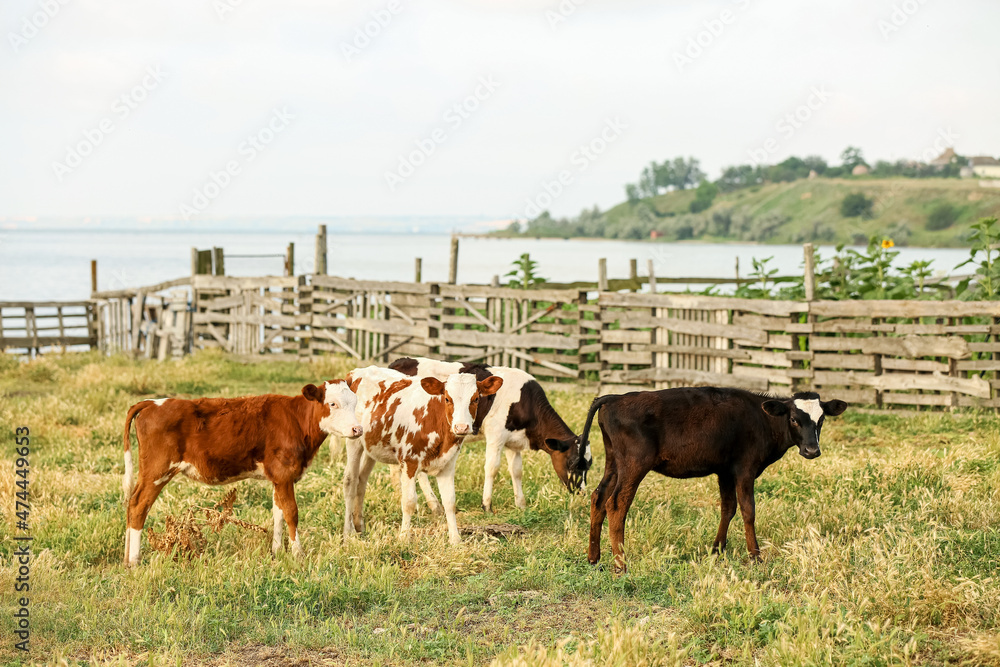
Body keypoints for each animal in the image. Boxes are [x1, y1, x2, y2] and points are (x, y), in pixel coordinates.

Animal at [121, 384, 362, 568]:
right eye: (333, 403)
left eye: (355, 402)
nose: (357, 429)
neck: (296, 420)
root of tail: (152, 402)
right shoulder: (285, 474)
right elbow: (291, 513)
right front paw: (298, 554)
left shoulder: (278, 478)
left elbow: (278, 512)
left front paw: (276, 552)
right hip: (157, 471)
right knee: (139, 506)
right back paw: (134, 560)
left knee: (130, 503)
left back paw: (126, 559)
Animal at [344, 368, 504, 544]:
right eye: (447, 398)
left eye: (475, 399)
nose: (461, 427)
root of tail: (356, 372)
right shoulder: (409, 463)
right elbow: (409, 502)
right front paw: (404, 537)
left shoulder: (448, 464)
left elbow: (449, 501)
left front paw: (455, 539)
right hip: (353, 440)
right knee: (350, 482)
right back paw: (348, 531)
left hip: (371, 447)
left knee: (361, 481)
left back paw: (359, 525)